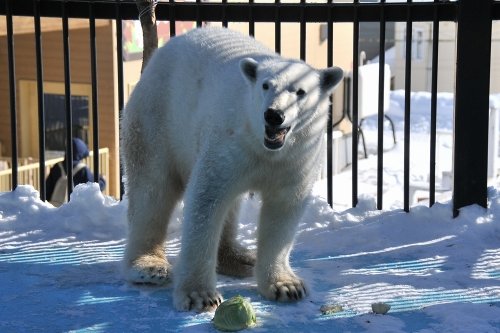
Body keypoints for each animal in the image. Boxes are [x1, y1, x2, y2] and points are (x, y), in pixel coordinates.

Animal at [121, 26, 342, 312]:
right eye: (265, 85)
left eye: (300, 91)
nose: (274, 115)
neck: (264, 147)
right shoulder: (230, 144)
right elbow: (207, 200)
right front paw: (199, 296)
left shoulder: (296, 158)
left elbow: (283, 211)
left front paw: (286, 286)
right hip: (157, 118)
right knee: (152, 191)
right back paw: (149, 266)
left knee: (229, 206)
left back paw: (240, 259)